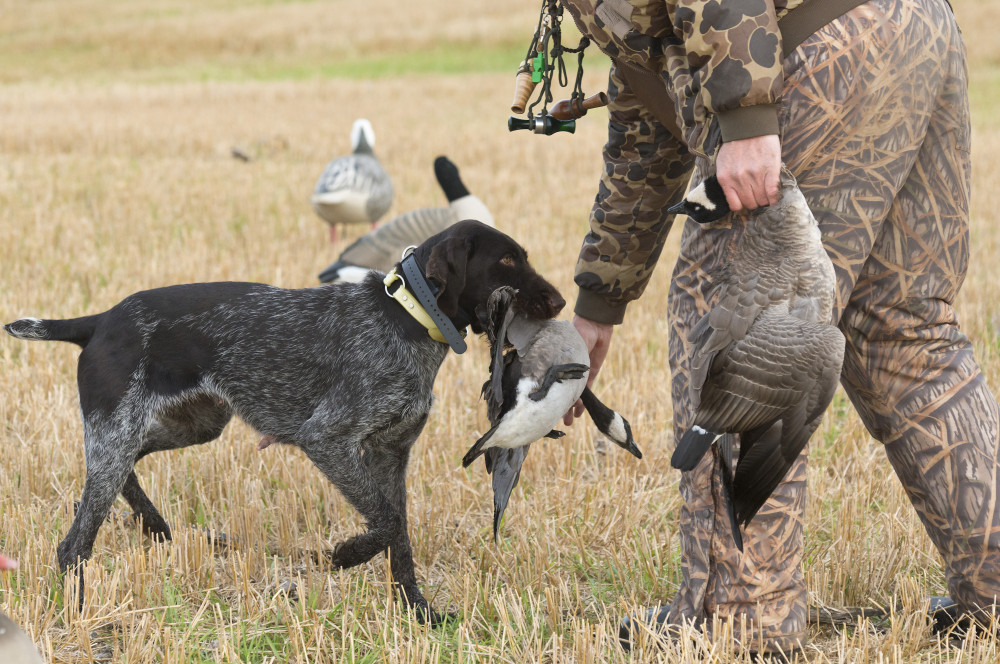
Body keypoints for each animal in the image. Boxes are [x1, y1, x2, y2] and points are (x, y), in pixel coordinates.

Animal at [1, 220, 564, 624]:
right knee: (74, 543)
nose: (560, 301)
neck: (407, 315)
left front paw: (418, 611)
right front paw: (346, 554)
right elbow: (385, 521)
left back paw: (151, 523)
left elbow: (399, 533)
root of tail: (98, 321)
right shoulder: (329, 438)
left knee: (118, 476)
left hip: (191, 424)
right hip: (121, 429)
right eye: (507, 260)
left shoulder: (391, 453)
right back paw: (79, 610)